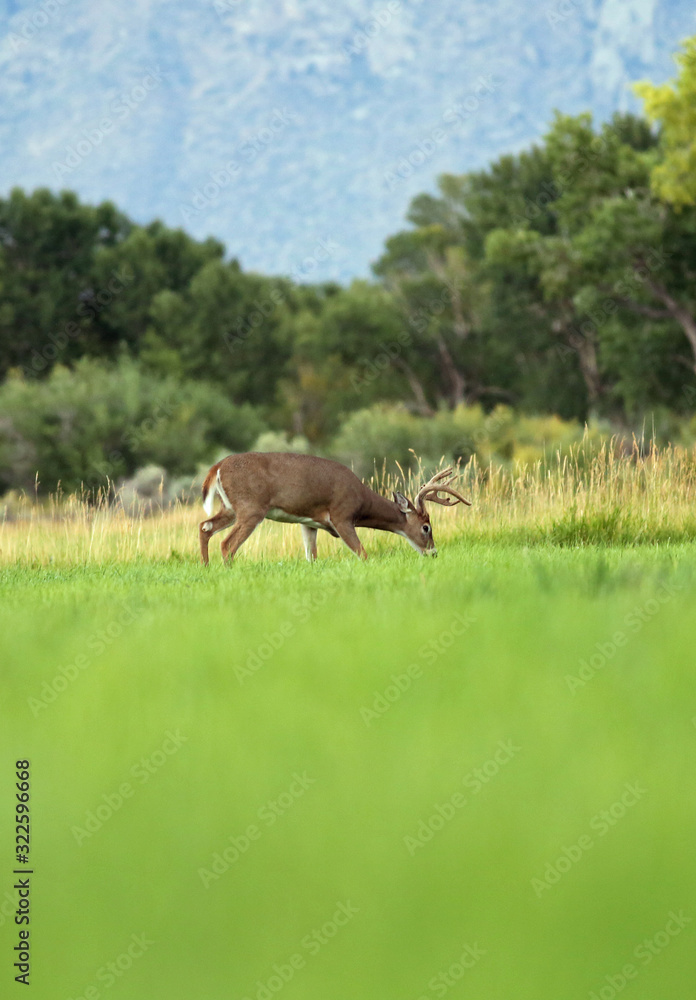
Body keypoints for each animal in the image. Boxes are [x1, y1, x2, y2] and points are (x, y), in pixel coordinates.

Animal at [198, 452, 470, 564]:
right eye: (426, 527)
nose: (434, 553)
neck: (362, 501)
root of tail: (217, 467)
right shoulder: (341, 516)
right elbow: (363, 553)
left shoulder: (309, 523)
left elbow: (312, 557)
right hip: (251, 507)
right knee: (227, 543)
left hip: (230, 507)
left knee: (205, 526)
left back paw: (207, 568)